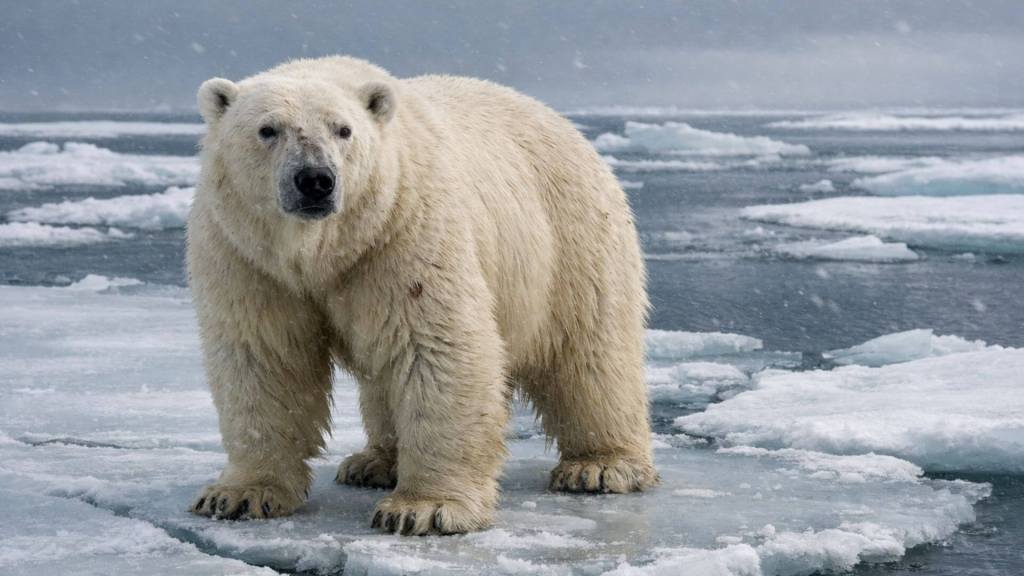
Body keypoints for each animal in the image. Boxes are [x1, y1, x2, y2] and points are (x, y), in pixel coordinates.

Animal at [187, 56, 656, 535]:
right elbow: (265, 357)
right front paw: (239, 494)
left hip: (571, 239)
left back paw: (599, 466)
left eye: (343, 129)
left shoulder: (403, 231)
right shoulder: (247, 257)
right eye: (267, 129)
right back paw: (372, 462)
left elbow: (433, 345)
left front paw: (423, 508)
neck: (325, 250)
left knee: (588, 355)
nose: (315, 179)